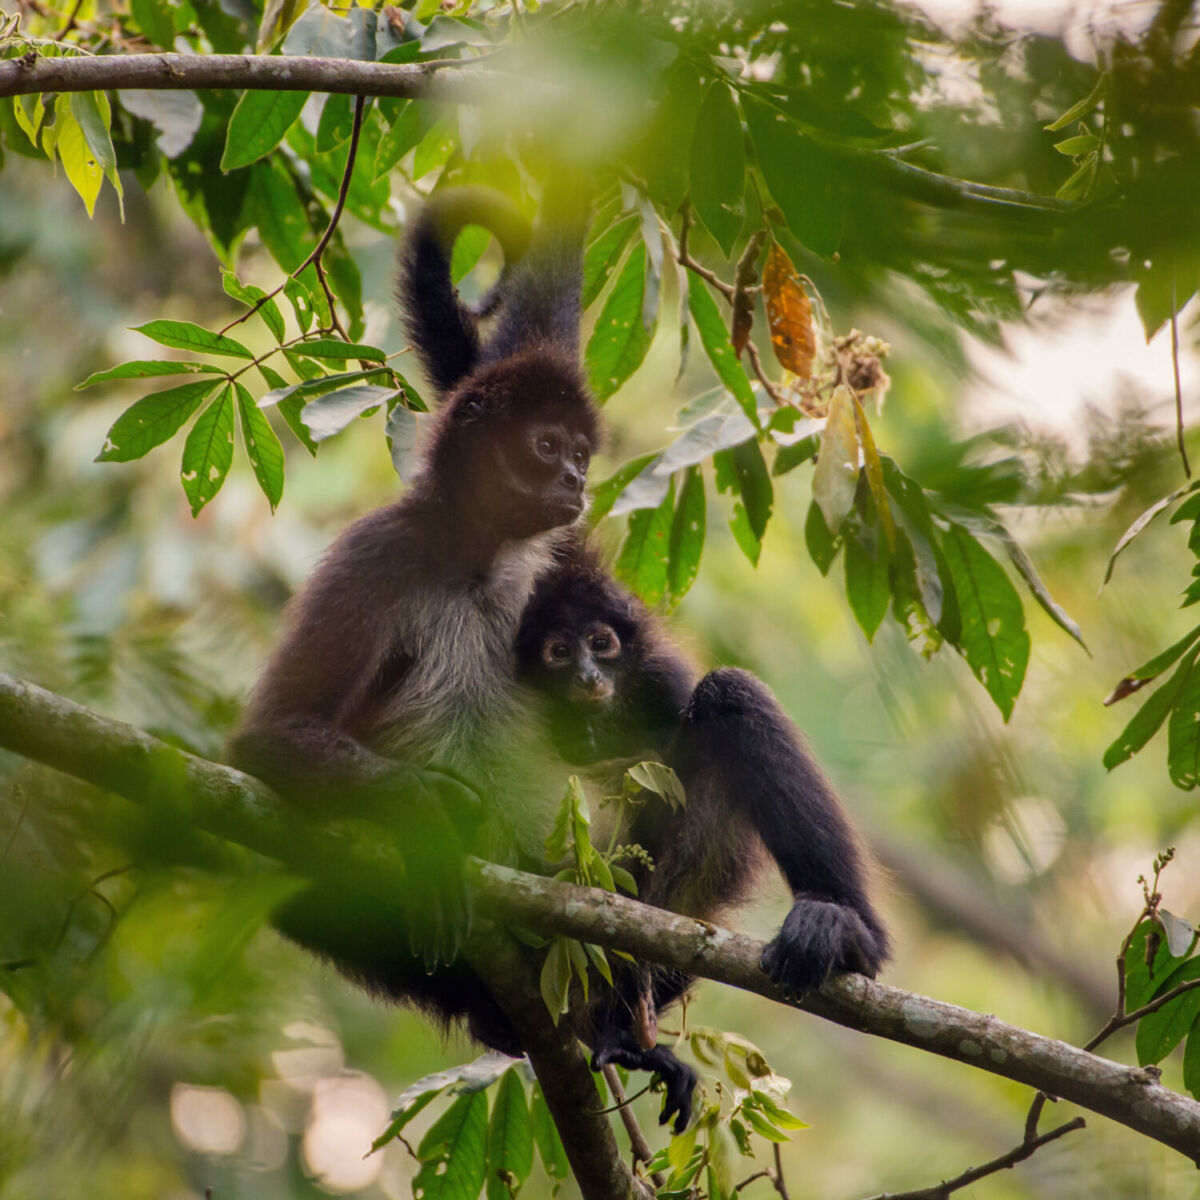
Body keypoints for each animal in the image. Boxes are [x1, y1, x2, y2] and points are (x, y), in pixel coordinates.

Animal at [514, 544, 891, 1127]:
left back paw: (849, 936)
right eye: (559, 653)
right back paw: (613, 1029)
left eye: (601, 643)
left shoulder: (657, 675)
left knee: (729, 693)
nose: (588, 675)